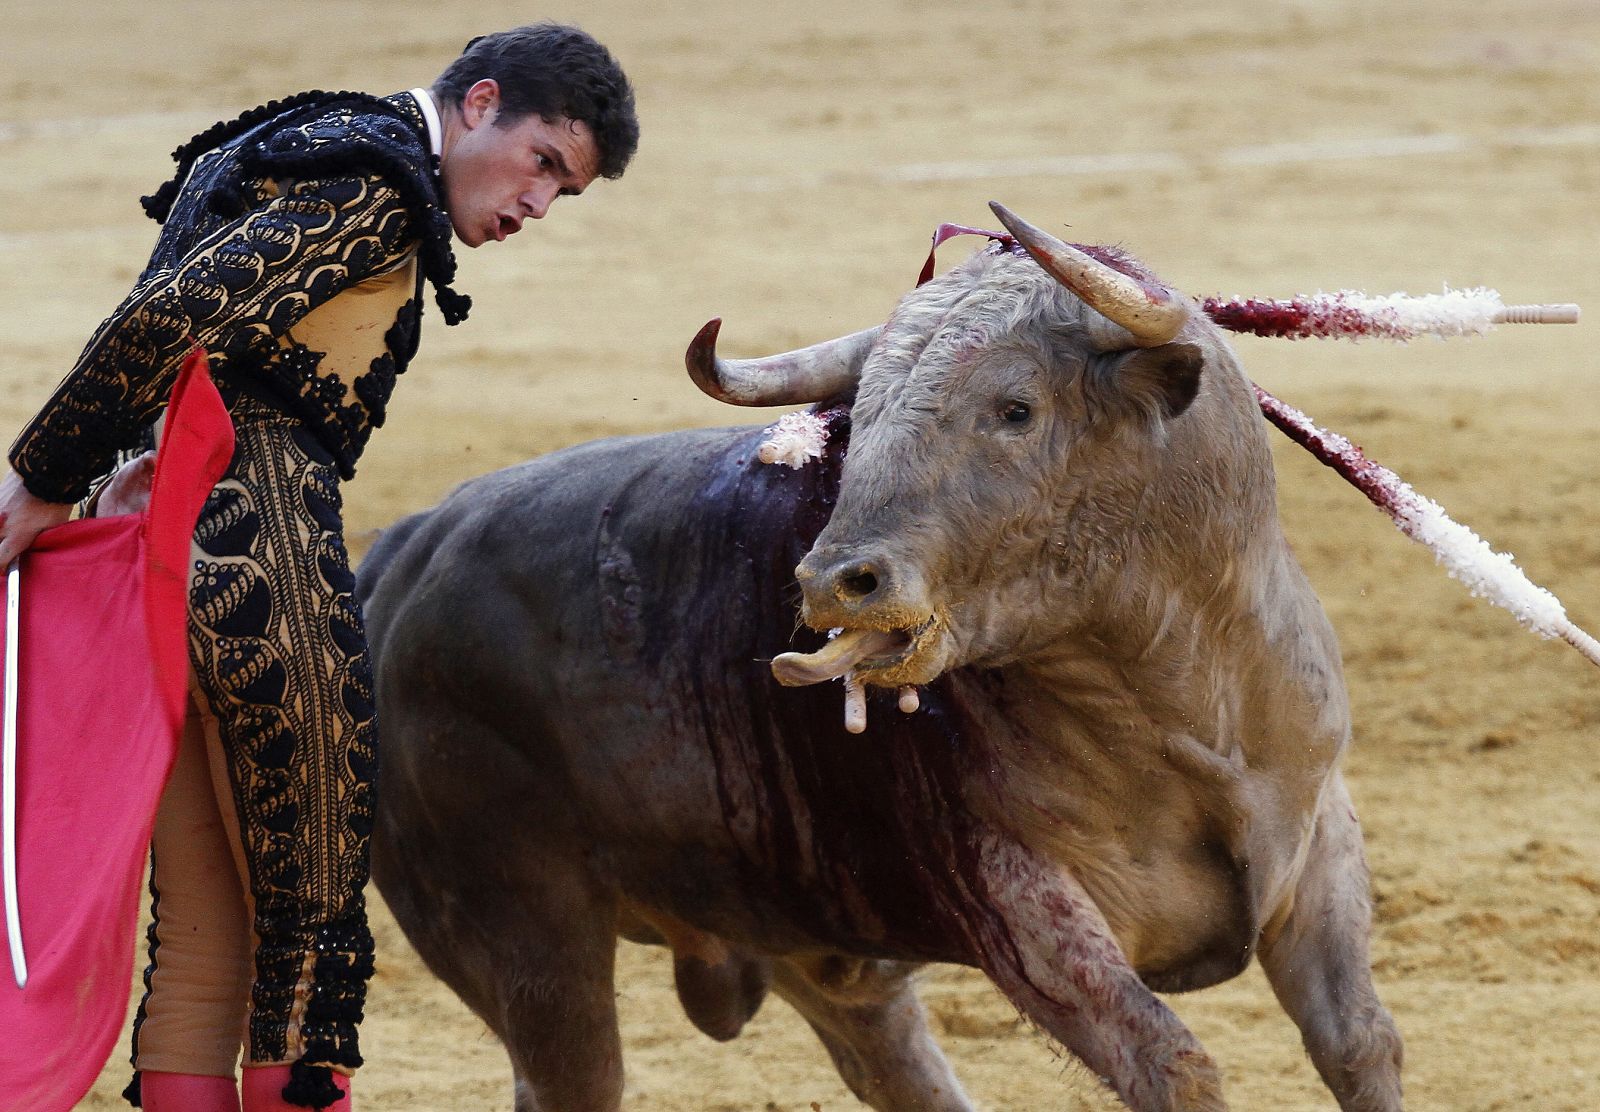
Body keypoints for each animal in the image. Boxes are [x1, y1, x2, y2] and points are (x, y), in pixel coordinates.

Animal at [360, 202, 1401, 1112]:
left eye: (1015, 408)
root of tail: (399, 558)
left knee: (887, 1052)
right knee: (575, 1074)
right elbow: (1172, 1064)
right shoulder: (1016, 899)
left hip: (797, 935)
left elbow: (1360, 1043)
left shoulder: (1321, 837)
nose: (835, 583)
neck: (1185, 705)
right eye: (857, 416)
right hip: (529, 937)